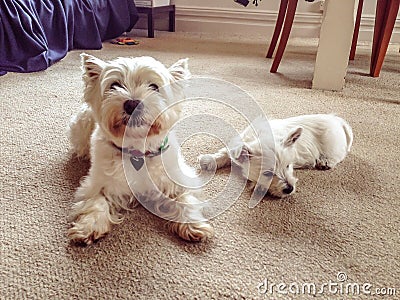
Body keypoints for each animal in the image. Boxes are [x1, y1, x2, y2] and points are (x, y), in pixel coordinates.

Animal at [68, 54, 216, 245]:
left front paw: (193, 225)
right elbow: (96, 201)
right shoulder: (97, 183)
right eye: (114, 85)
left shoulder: (179, 178)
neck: (138, 152)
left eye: (154, 86)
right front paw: (89, 226)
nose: (132, 104)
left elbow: (185, 198)